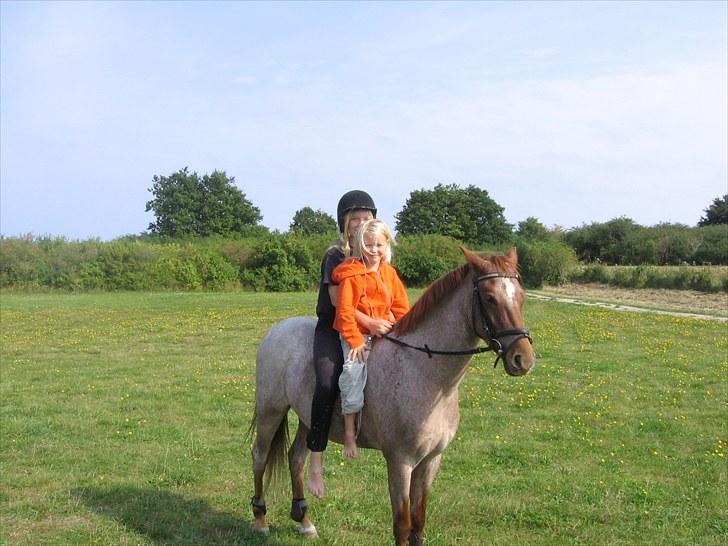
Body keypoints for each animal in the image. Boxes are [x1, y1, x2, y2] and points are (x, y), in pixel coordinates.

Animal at [249, 247, 535, 545]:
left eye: (521, 296)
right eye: (490, 298)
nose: (523, 359)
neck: (425, 373)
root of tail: (277, 330)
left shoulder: (431, 461)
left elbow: (418, 521)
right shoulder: (400, 462)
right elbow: (402, 523)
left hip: (310, 418)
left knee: (296, 459)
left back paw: (304, 521)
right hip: (271, 411)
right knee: (259, 457)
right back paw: (260, 519)